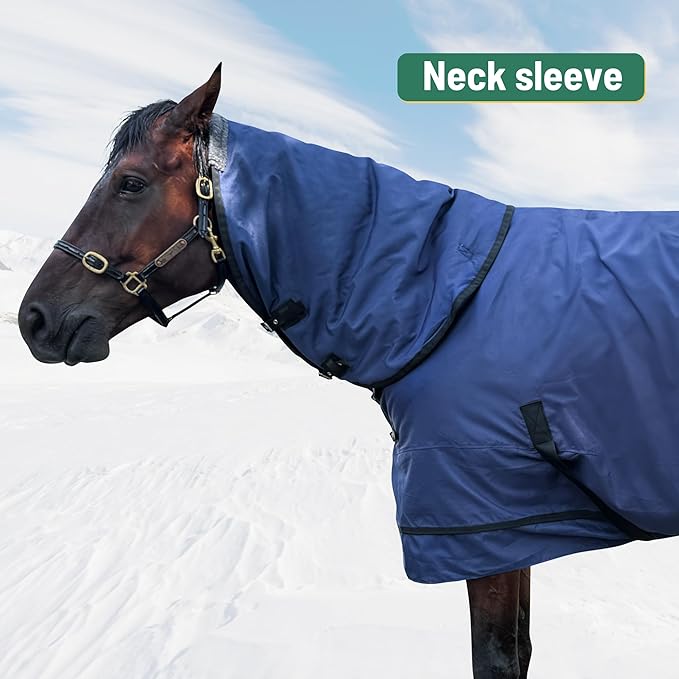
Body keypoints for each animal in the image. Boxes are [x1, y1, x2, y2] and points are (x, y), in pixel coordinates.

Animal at [20, 65, 679, 678]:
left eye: (130, 183)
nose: (33, 318)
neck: (439, 298)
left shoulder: (484, 521)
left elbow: (496, 656)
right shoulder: (511, 528)